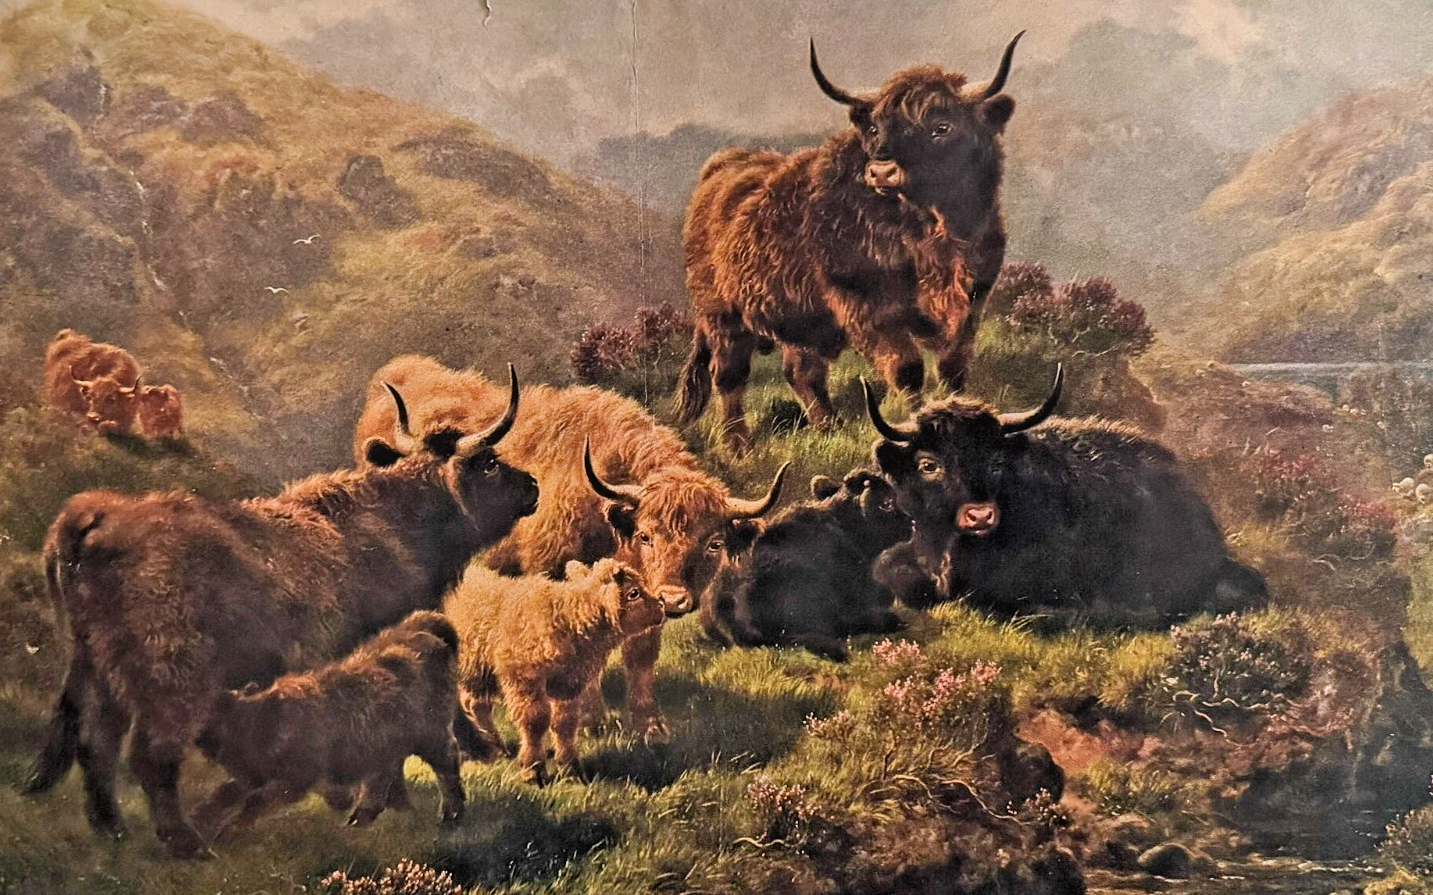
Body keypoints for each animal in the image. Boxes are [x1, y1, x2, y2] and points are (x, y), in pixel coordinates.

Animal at [23, 369, 537, 858]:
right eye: (490, 462)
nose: (532, 486)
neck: (393, 522)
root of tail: (97, 517)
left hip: (95, 668)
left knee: (93, 743)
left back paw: (111, 829)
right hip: (171, 675)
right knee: (149, 755)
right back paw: (188, 844)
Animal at [353, 355, 787, 739]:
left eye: (714, 543)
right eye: (646, 535)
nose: (675, 598)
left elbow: (640, 655)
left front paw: (650, 727)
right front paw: (592, 721)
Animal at [677, 35, 1024, 453]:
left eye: (942, 127)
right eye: (875, 129)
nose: (881, 171)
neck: (933, 235)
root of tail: (723, 165)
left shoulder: (971, 302)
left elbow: (953, 368)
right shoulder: (869, 310)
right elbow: (907, 369)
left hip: (800, 318)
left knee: (801, 373)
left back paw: (827, 427)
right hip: (723, 316)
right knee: (729, 375)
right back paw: (737, 445)